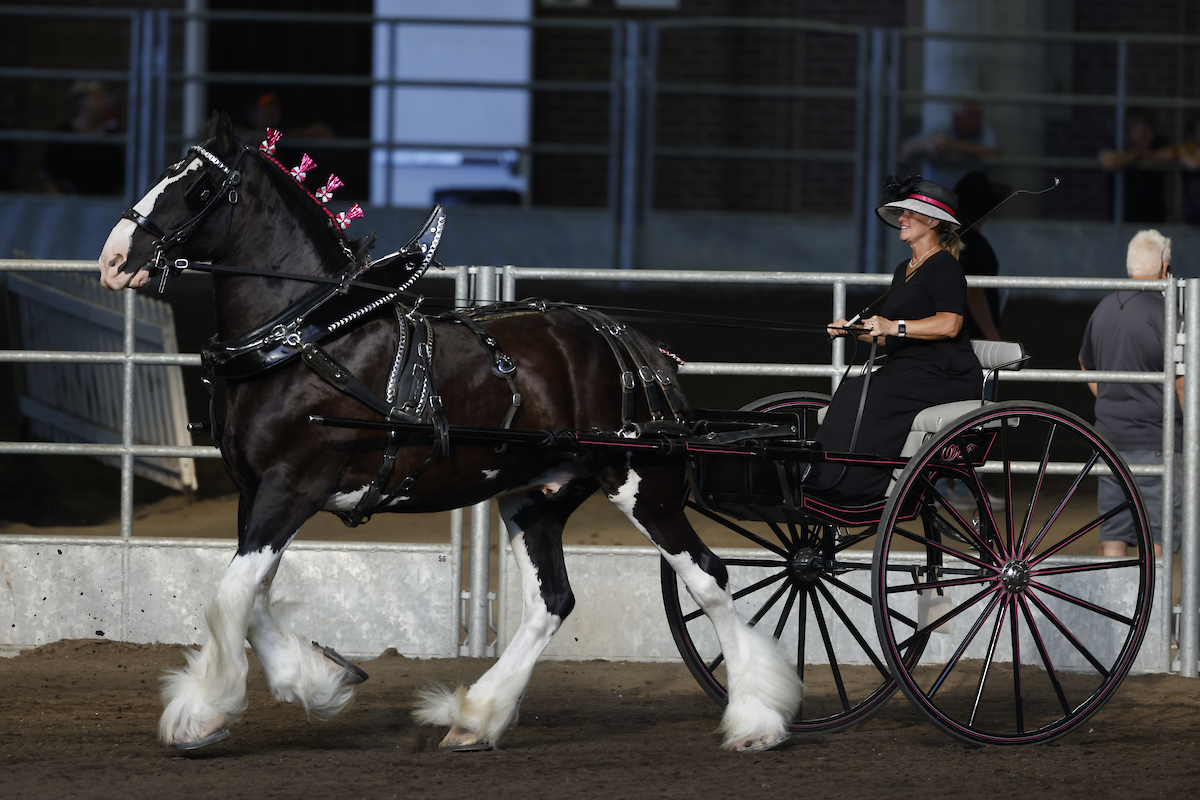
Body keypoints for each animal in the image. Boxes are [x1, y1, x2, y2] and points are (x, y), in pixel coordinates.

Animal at [98, 112, 801, 753]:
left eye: (195, 186)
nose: (112, 260)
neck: (305, 338)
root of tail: (634, 345)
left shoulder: (292, 486)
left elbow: (229, 600)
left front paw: (201, 714)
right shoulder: (257, 494)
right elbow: (252, 600)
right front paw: (320, 680)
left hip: (640, 487)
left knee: (708, 577)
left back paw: (756, 720)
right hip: (535, 495)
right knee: (551, 602)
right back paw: (476, 716)